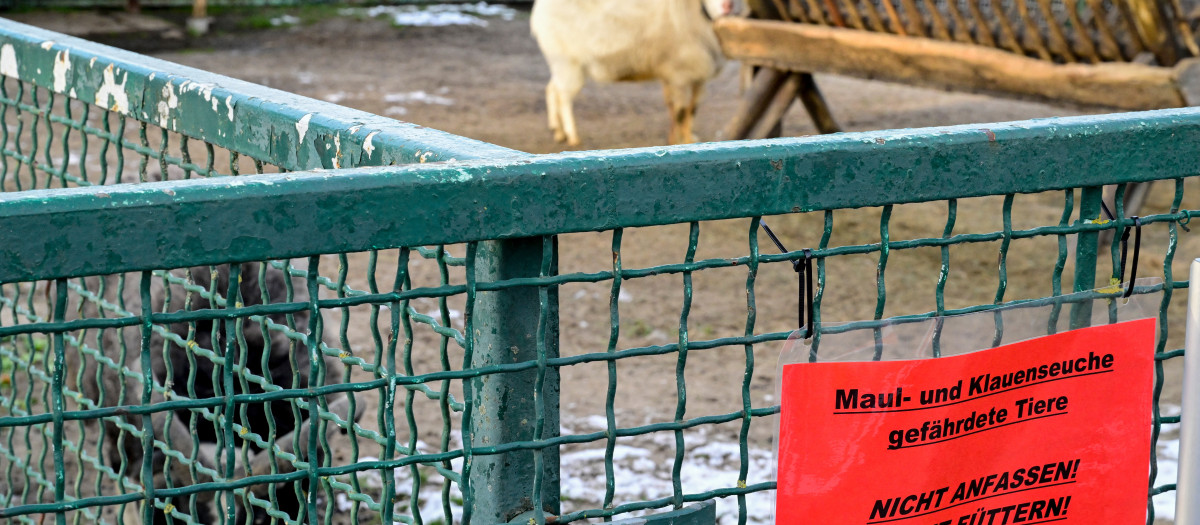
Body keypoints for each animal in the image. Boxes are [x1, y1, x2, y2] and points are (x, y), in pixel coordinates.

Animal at [532, 0, 734, 145]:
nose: (728, 5)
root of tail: (537, 13)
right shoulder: (680, 74)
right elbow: (680, 113)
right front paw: (682, 142)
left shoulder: (693, 76)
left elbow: (689, 110)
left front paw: (687, 138)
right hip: (568, 63)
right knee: (564, 97)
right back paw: (572, 136)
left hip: (560, 64)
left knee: (552, 89)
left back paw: (557, 130)